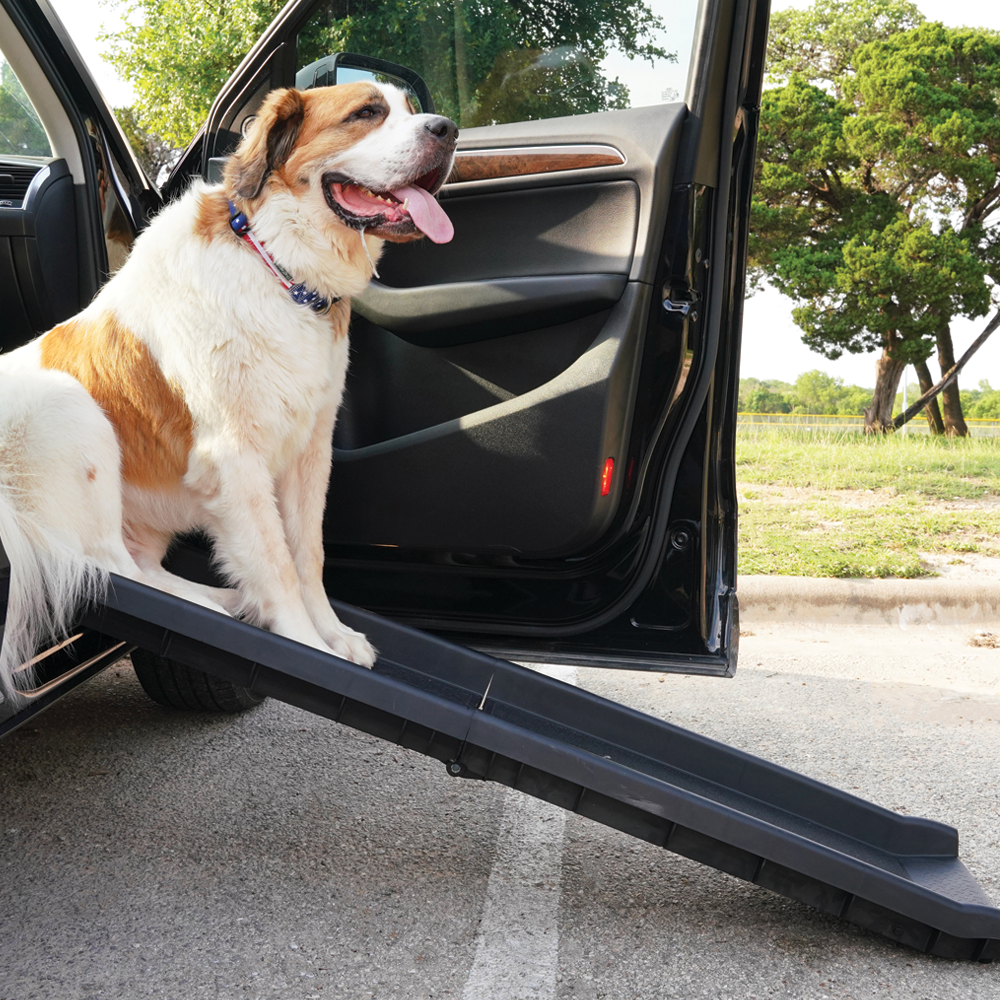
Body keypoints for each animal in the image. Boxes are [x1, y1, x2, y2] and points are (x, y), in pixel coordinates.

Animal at [0, 82, 458, 700]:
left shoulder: (310, 451)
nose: (447, 130)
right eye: (367, 113)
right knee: (110, 567)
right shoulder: (236, 458)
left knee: (142, 568)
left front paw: (333, 634)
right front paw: (306, 646)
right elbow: (276, 563)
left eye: (411, 108)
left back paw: (222, 599)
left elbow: (307, 554)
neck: (277, 266)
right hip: (67, 408)